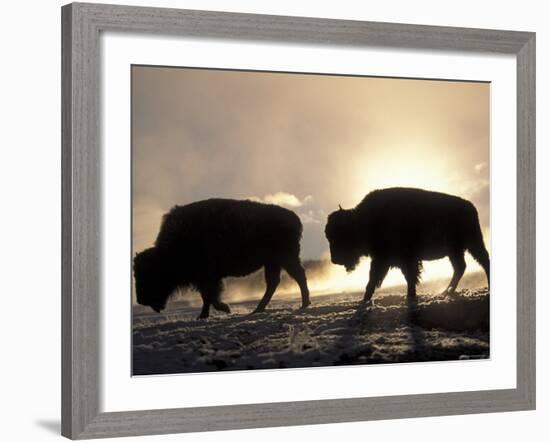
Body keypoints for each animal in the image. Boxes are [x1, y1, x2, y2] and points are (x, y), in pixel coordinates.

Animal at [135, 199, 310, 320]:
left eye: (149, 274)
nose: (140, 300)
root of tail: (294, 218)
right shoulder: (206, 279)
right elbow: (207, 297)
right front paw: (205, 315)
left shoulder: (208, 277)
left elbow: (210, 296)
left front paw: (223, 309)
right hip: (273, 262)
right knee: (274, 283)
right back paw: (259, 309)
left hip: (285, 259)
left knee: (298, 277)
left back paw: (303, 304)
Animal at [324, 187, 492, 302]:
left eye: (341, 235)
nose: (334, 260)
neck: (364, 220)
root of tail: (470, 207)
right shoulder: (384, 259)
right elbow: (374, 279)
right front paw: (365, 299)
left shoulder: (400, 259)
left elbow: (406, 277)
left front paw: (410, 296)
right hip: (456, 251)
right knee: (461, 267)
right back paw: (447, 292)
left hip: (472, 244)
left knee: (482, 262)